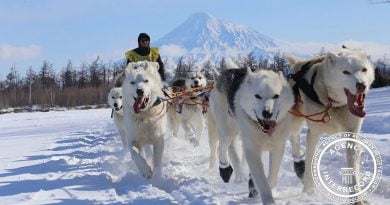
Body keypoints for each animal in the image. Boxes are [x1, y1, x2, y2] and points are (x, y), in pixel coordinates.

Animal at [288, 46, 376, 197]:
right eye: (345, 72)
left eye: (364, 69)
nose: (361, 85)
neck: (334, 104)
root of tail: (297, 63)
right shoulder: (314, 133)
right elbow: (310, 161)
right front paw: (308, 190)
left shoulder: (352, 133)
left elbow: (353, 166)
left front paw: (357, 198)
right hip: (295, 121)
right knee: (294, 138)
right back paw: (298, 162)